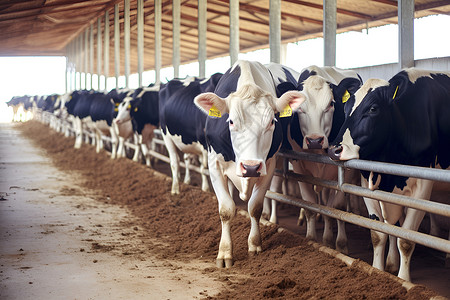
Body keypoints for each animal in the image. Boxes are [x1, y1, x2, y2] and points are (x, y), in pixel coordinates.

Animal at [193, 60, 306, 268]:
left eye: (272, 122)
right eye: (230, 121)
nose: (251, 166)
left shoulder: (269, 165)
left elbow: (255, 207)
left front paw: (254, 245)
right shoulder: (214, 164)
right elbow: (226, 209)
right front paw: (224, 253)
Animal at [268, 64, 362, 254]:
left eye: (331, 104)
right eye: (299, 108)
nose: (314, 140)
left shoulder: (345, 170)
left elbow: (336, 207)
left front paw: (338, 243)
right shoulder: (299, 166)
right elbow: (310, 204)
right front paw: (311, 238)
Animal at [326, 68, 450, 282]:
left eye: (373, 109)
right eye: (346, 108)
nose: (335, 149)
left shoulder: (422, 188)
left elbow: (406, 239)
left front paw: (404, 279)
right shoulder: (368, 183)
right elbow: (380, 233)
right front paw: (380, 270)